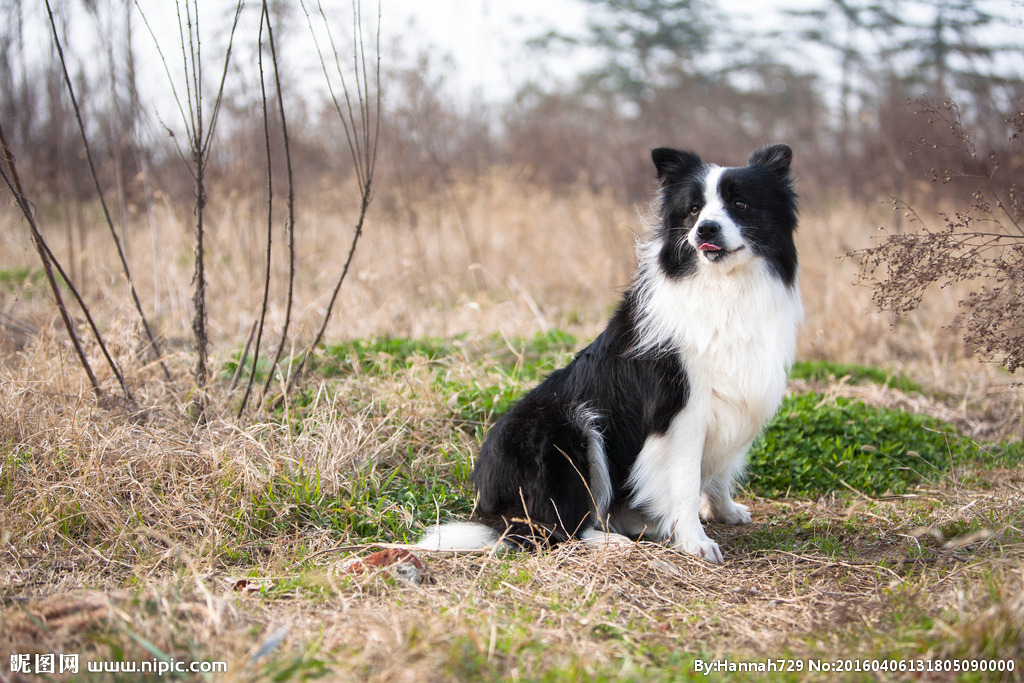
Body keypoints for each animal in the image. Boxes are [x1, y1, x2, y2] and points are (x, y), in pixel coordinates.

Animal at [415, 143, 798, 561]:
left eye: (740, 204)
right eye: (693, 210)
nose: (705, 229)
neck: (722, 287)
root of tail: (494, 508)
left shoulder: (736, 397)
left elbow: (717, 473)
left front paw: (724, 510)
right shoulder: (680, 410)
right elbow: (685, 479)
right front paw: (695, 540)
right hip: (565, 424)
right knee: (558, 526)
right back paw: (609, 538)